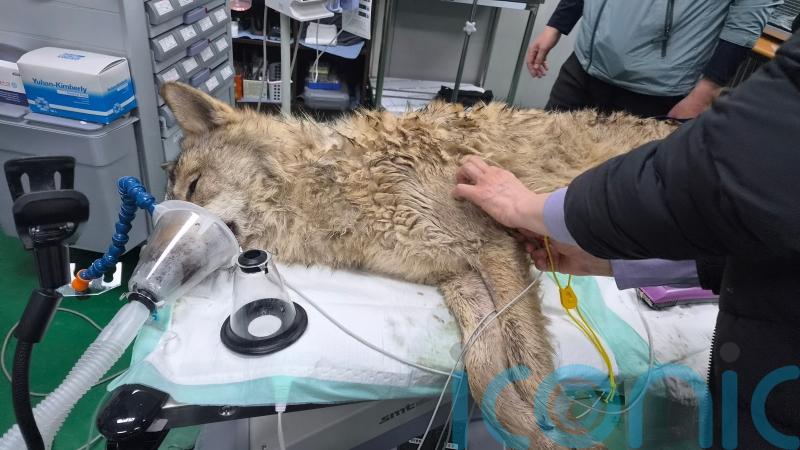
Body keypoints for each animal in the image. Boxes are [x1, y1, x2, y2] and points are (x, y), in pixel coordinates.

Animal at [160, 82, 676, 449]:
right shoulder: (458, 277)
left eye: (194, 187)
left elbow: (530, 367)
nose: (154, 273)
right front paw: (532, 432)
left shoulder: (493, 246)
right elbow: (487, 373)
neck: (335, 184)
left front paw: (565, 434)